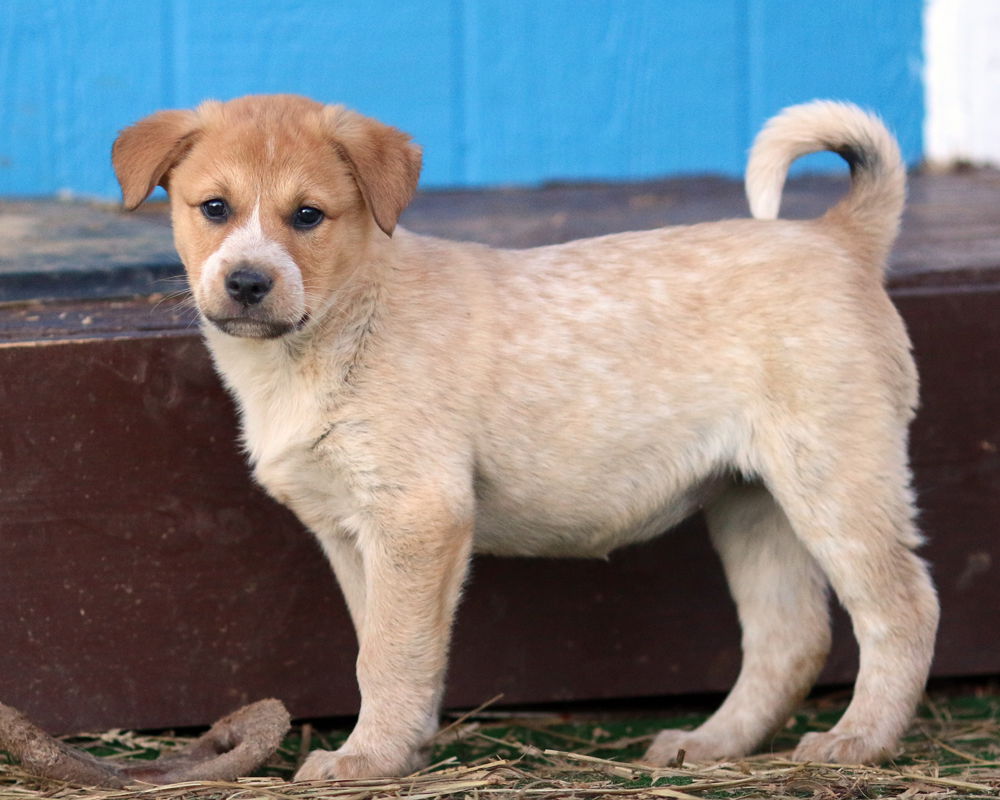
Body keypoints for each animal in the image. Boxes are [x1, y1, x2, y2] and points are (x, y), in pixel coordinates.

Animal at [115, 95, 936, 780]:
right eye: (213, 207)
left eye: (309, 216)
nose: (248, 282)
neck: (333, 332)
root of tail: (838, 237)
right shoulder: (350, 531)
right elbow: (388, 644)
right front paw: (402, 747)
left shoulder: (418, 515)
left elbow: (388, 653)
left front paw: (365, 760)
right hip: (751, 501)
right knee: (789, 637)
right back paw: (709, 743)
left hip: (834, 477)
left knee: (901, 609)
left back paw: (857, 741)